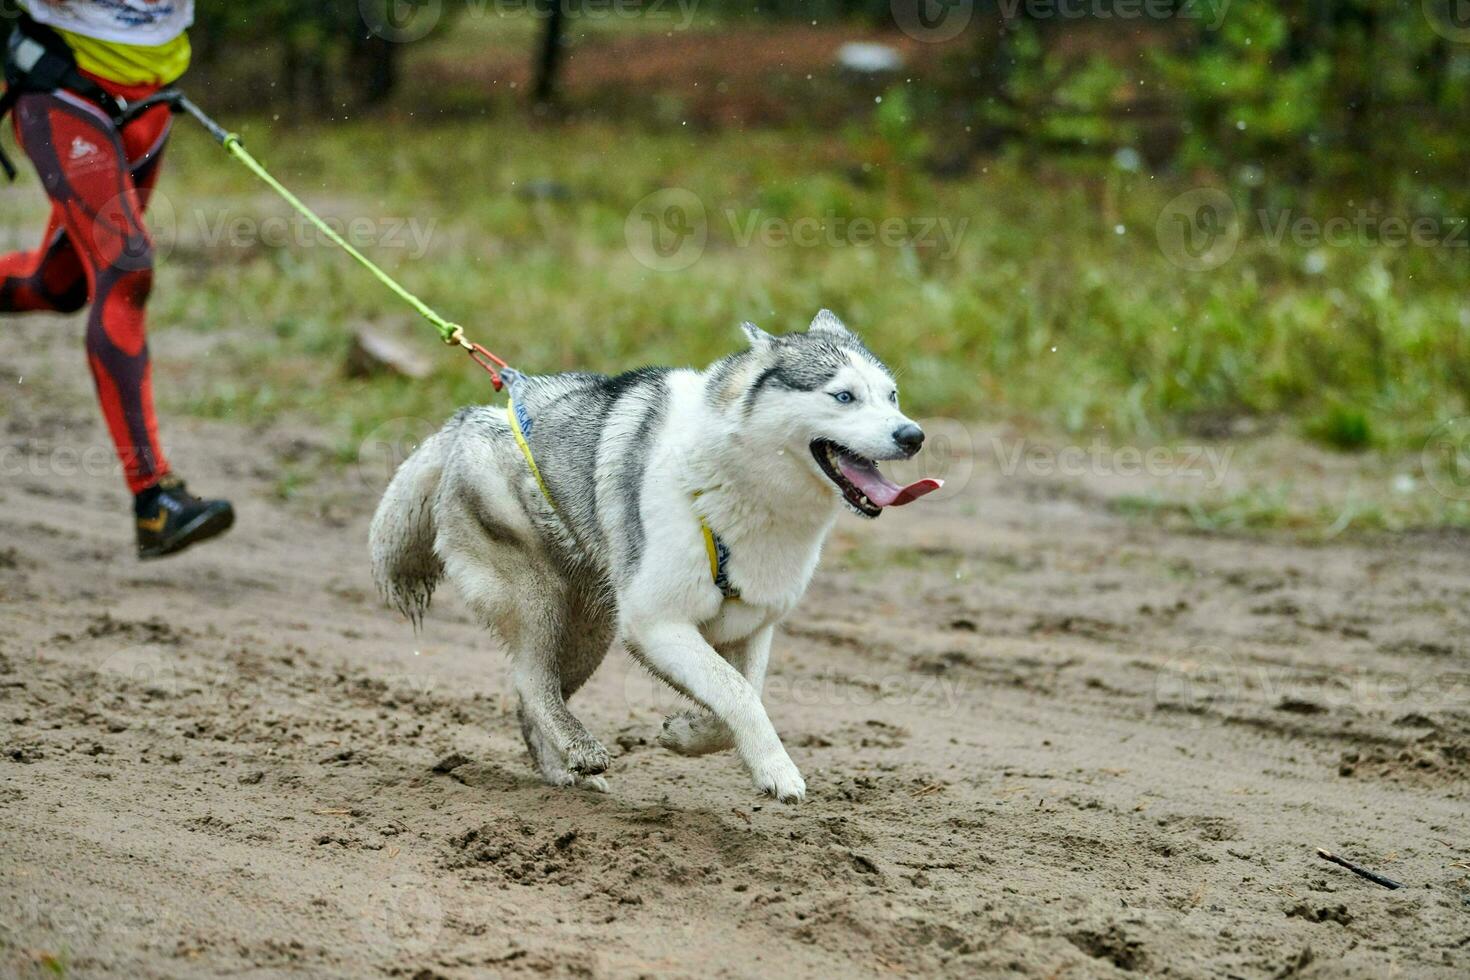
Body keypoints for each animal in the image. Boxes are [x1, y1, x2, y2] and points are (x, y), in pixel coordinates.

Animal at [373, 310, 934, 799]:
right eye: (843, 396)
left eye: (892, 396)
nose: (913, 435)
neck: (734, 486)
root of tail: (471, 418)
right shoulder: (654, 623)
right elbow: (737, 694)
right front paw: (779, 773)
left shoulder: (752, 627)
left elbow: (740, 697)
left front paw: (684, 735)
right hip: (538, 598)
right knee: (530, 681)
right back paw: (580, 749)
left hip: (592, 629)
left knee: (535, 694)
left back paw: (563, 771)